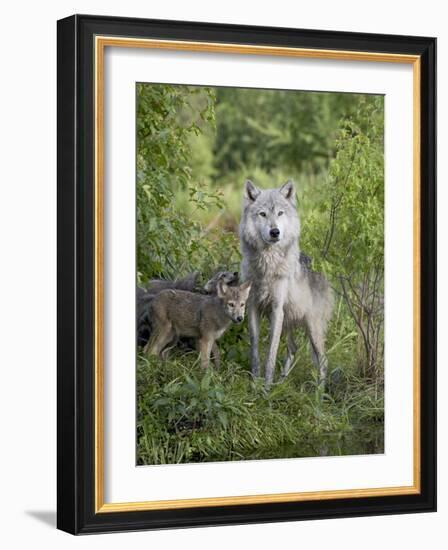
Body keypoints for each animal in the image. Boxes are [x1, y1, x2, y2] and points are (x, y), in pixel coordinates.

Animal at [242, 180, 332, 388]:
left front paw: (266, 387)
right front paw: (255, 382)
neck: (267, 265)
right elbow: (255, 349)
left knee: (323, 360)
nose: (275, 232)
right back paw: (282, 382)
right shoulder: (253, 306)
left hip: (312, 328)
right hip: (288, 322)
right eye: (263, 214)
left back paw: (319, 392)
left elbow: (271, 354)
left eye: (280, 213)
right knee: (294, 348)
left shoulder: (276, 309)